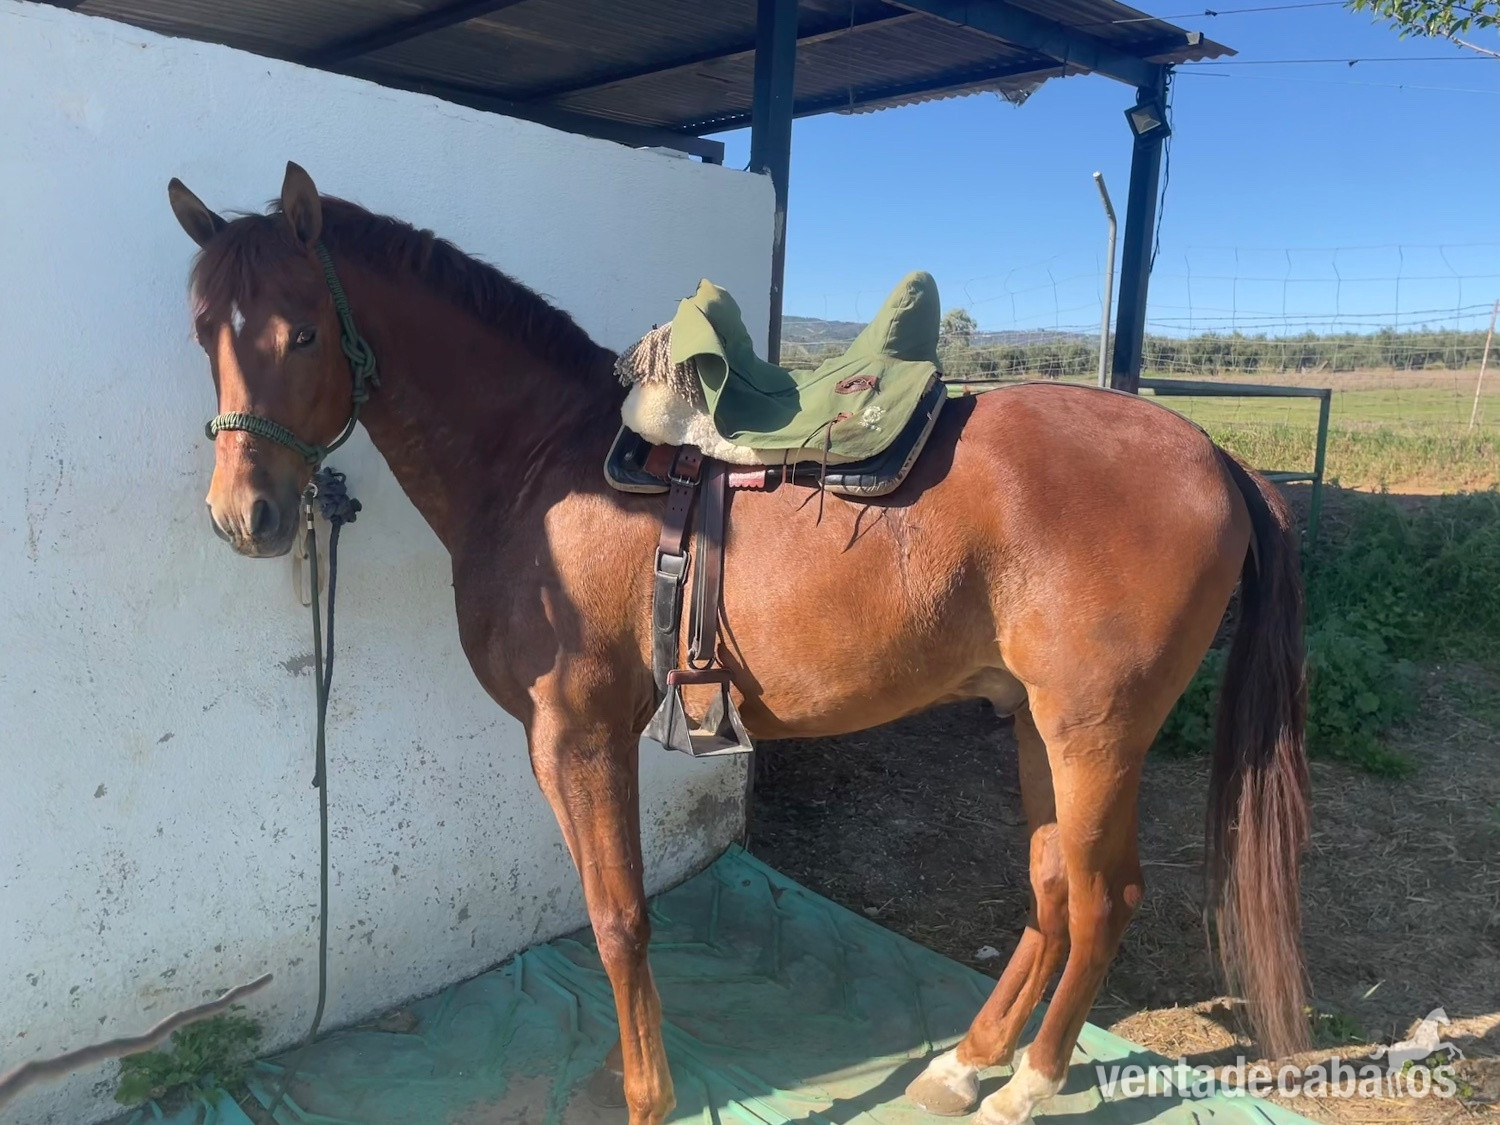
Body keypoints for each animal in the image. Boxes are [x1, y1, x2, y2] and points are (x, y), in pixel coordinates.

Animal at [165, 162, 1311, 1125]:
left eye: (303, 335)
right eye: (204, 330)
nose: (245, 517)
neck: (541, 465)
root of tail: (1213, 456)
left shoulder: (578, 735)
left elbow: (618, 918)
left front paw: (648, 1098)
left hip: (1094, 732)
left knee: (1106, 897)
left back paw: (1026, 1087)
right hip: (1034, 722)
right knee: (1055, 888)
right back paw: (965, 1065)